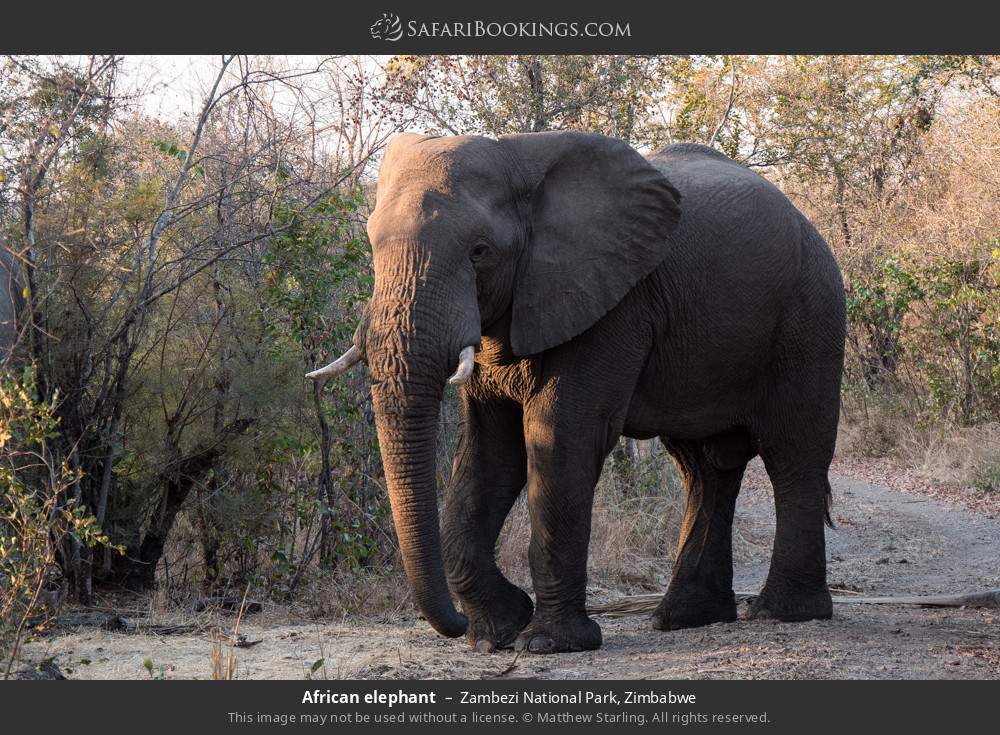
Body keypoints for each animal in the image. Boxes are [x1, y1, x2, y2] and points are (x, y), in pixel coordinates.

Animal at [308, 132, 848, 656]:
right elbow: (490, 452)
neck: (518, 157)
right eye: (371, 247)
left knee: (792, 453)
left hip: (811, 314)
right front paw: (496, 633)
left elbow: (562, 437)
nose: (455, 625)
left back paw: (783, 612)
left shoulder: (614, 303)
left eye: (480, 251)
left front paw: (546, 643)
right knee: (705, 468)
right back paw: (682, 618)